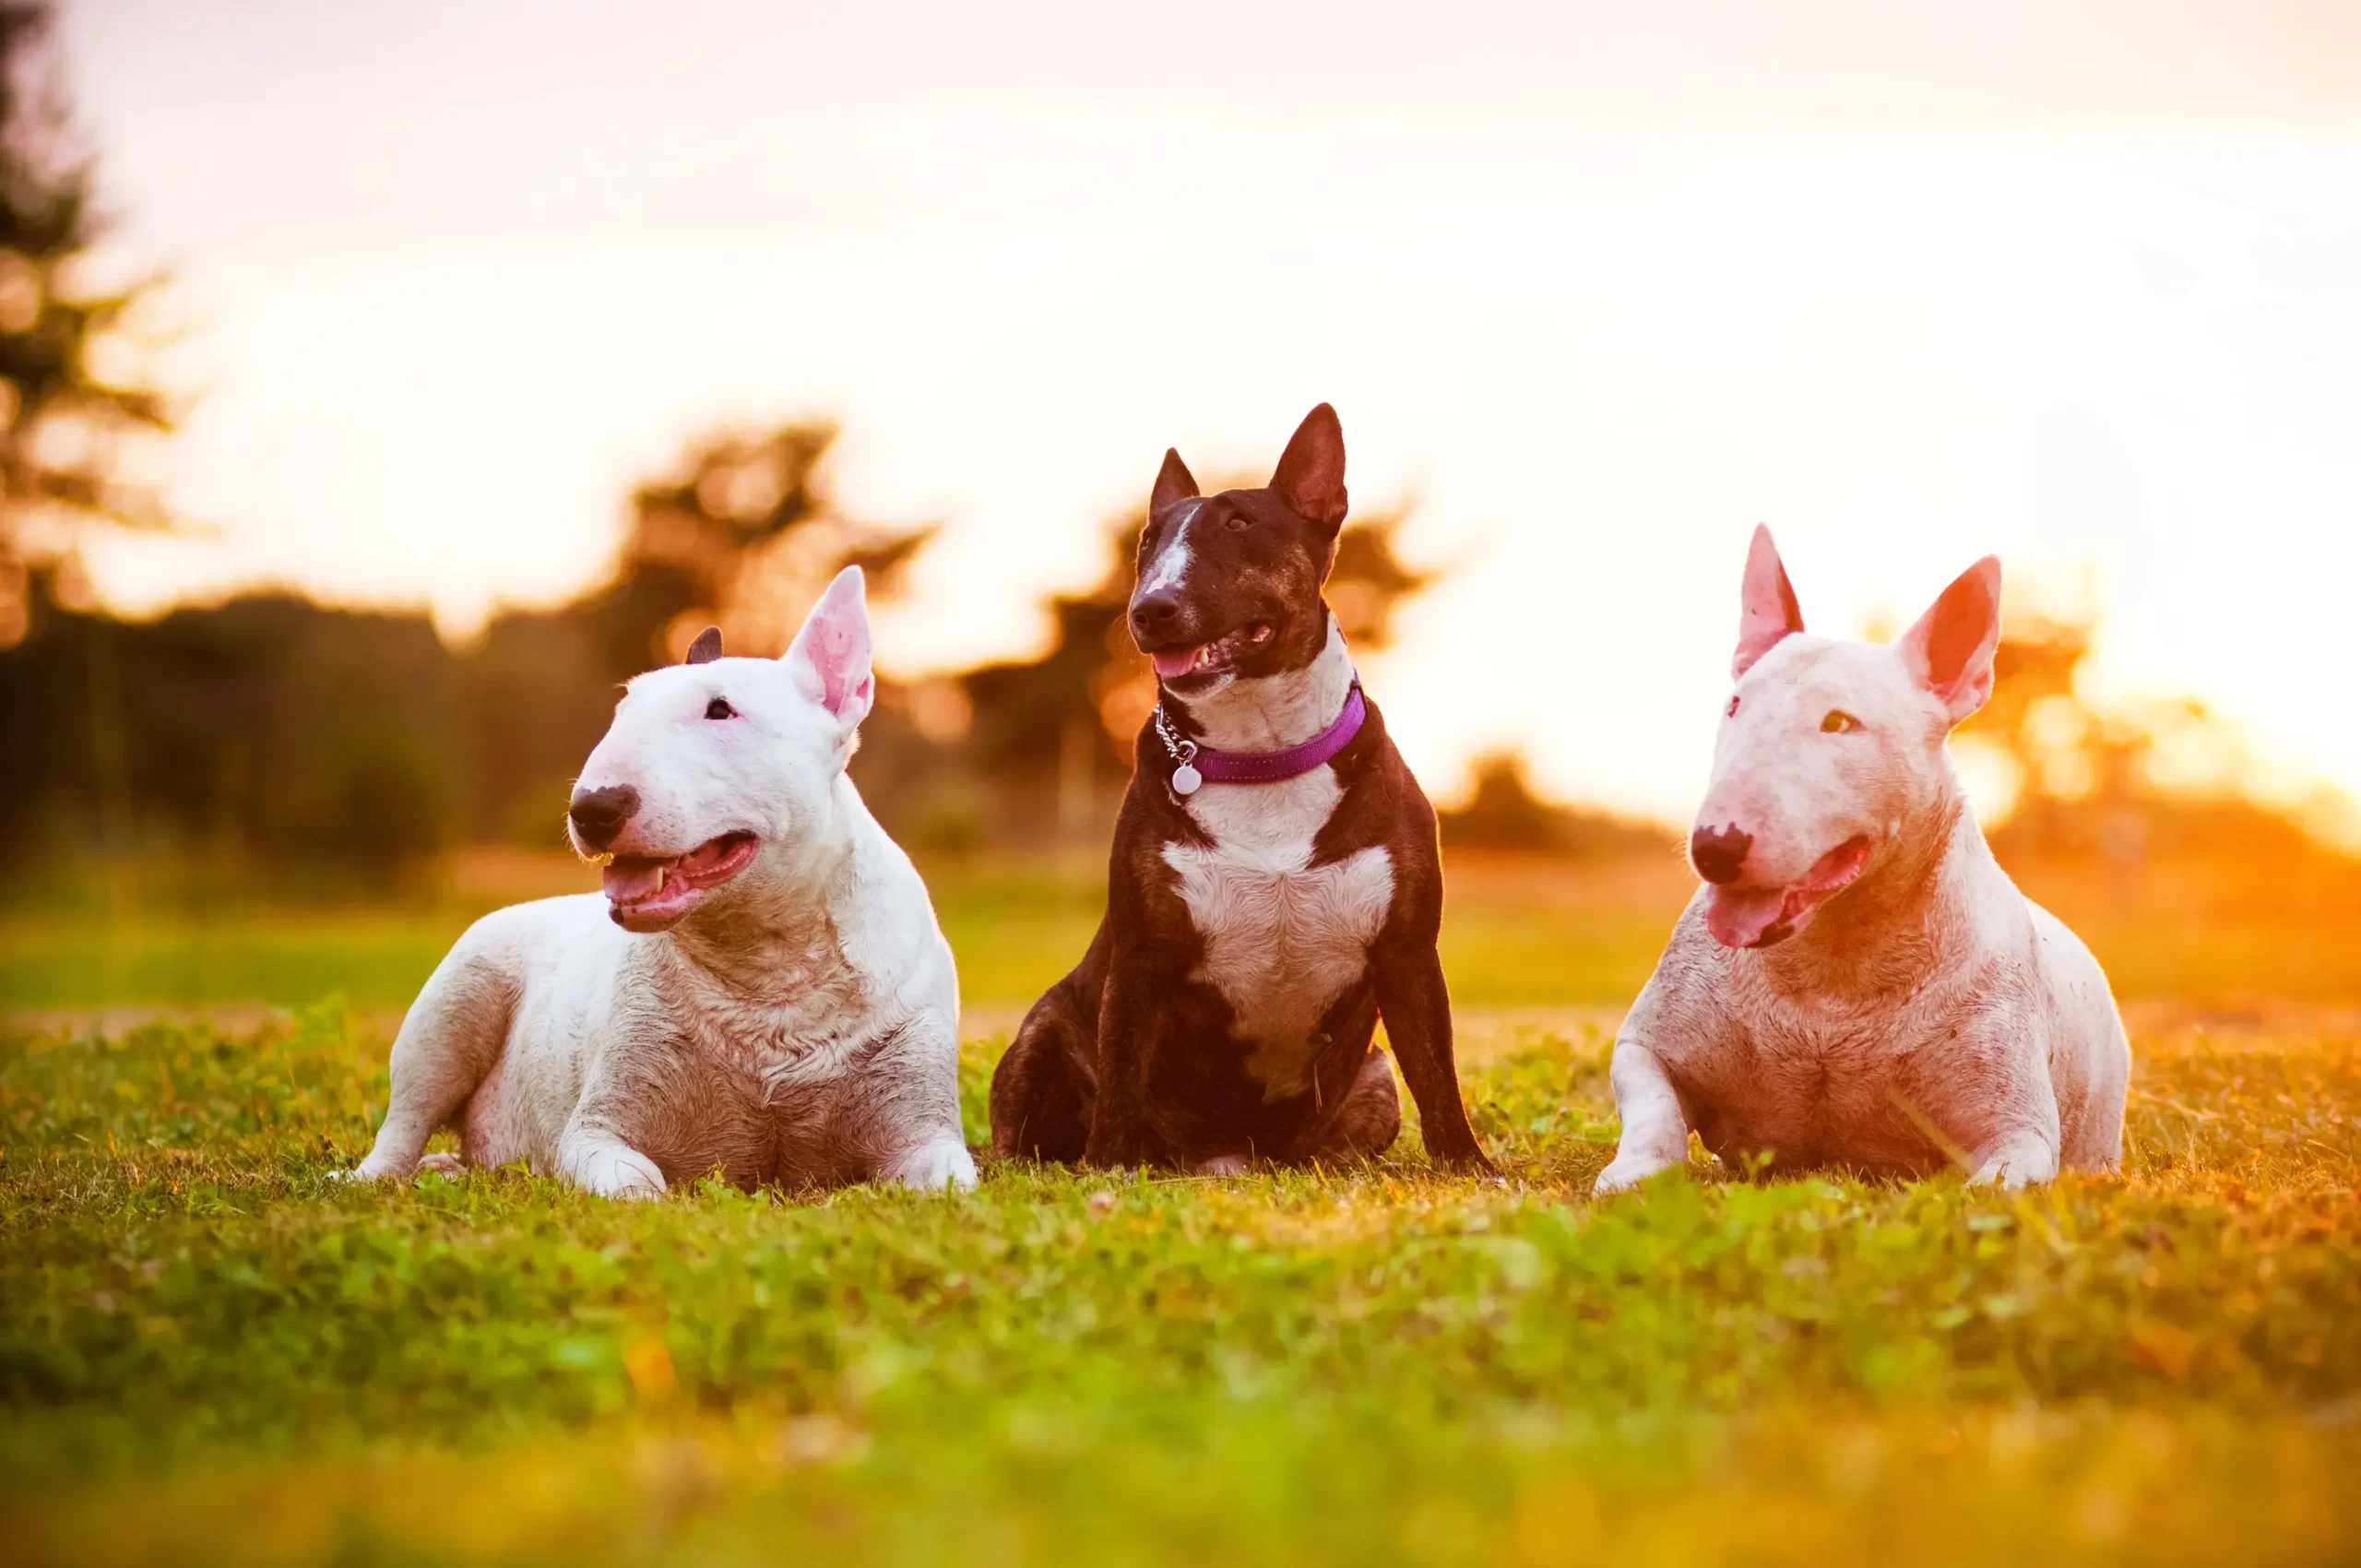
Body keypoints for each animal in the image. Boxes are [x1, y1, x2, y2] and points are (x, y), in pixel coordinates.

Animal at [987, 403, 1501, 1176]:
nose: (1150, 609)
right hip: (1042, 1032)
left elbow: (1437, 1072)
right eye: (1149, 542)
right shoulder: (1141, 956)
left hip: (1373, 1078)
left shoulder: (1409, 952)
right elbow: (1121, 1072)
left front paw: (1467, 1166)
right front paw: (1108, 1167)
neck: (1261, 755)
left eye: (1239, 525)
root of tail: (1228, 1156)